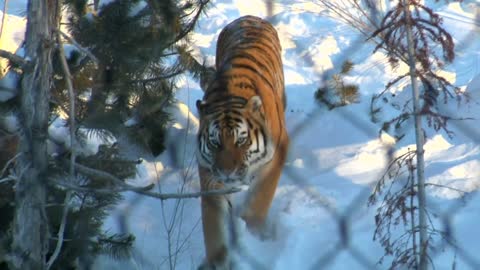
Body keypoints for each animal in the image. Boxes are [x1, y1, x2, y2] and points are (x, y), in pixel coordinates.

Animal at [195, 15, 288, 268]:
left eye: (241, 141)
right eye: (215, 143)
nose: (228, 173)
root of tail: (249, 17)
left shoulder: (277, 154)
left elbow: (261, 197)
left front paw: (253, 231)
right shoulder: (210, 174)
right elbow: (213, 226)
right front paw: (217, 261)